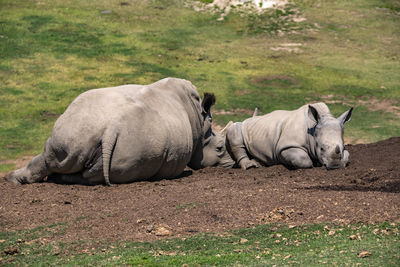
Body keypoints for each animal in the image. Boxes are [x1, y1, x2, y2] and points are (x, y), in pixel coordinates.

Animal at [6, 78, 234, 185]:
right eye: (220, 148)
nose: (232, 164)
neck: (201, 122)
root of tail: (110, 128)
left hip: (87, 133)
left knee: (52, 155)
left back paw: (15, 178)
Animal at [225, 103, 354, 171]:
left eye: (342, 147)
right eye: (321, 148)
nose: (335, 166)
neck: (312, 128)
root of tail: (249, 119)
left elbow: (348, 155)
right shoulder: (286, 146)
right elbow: (302, 160)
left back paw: (259, 163)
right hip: (241, 126)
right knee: (234, 131)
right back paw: (251, 166)